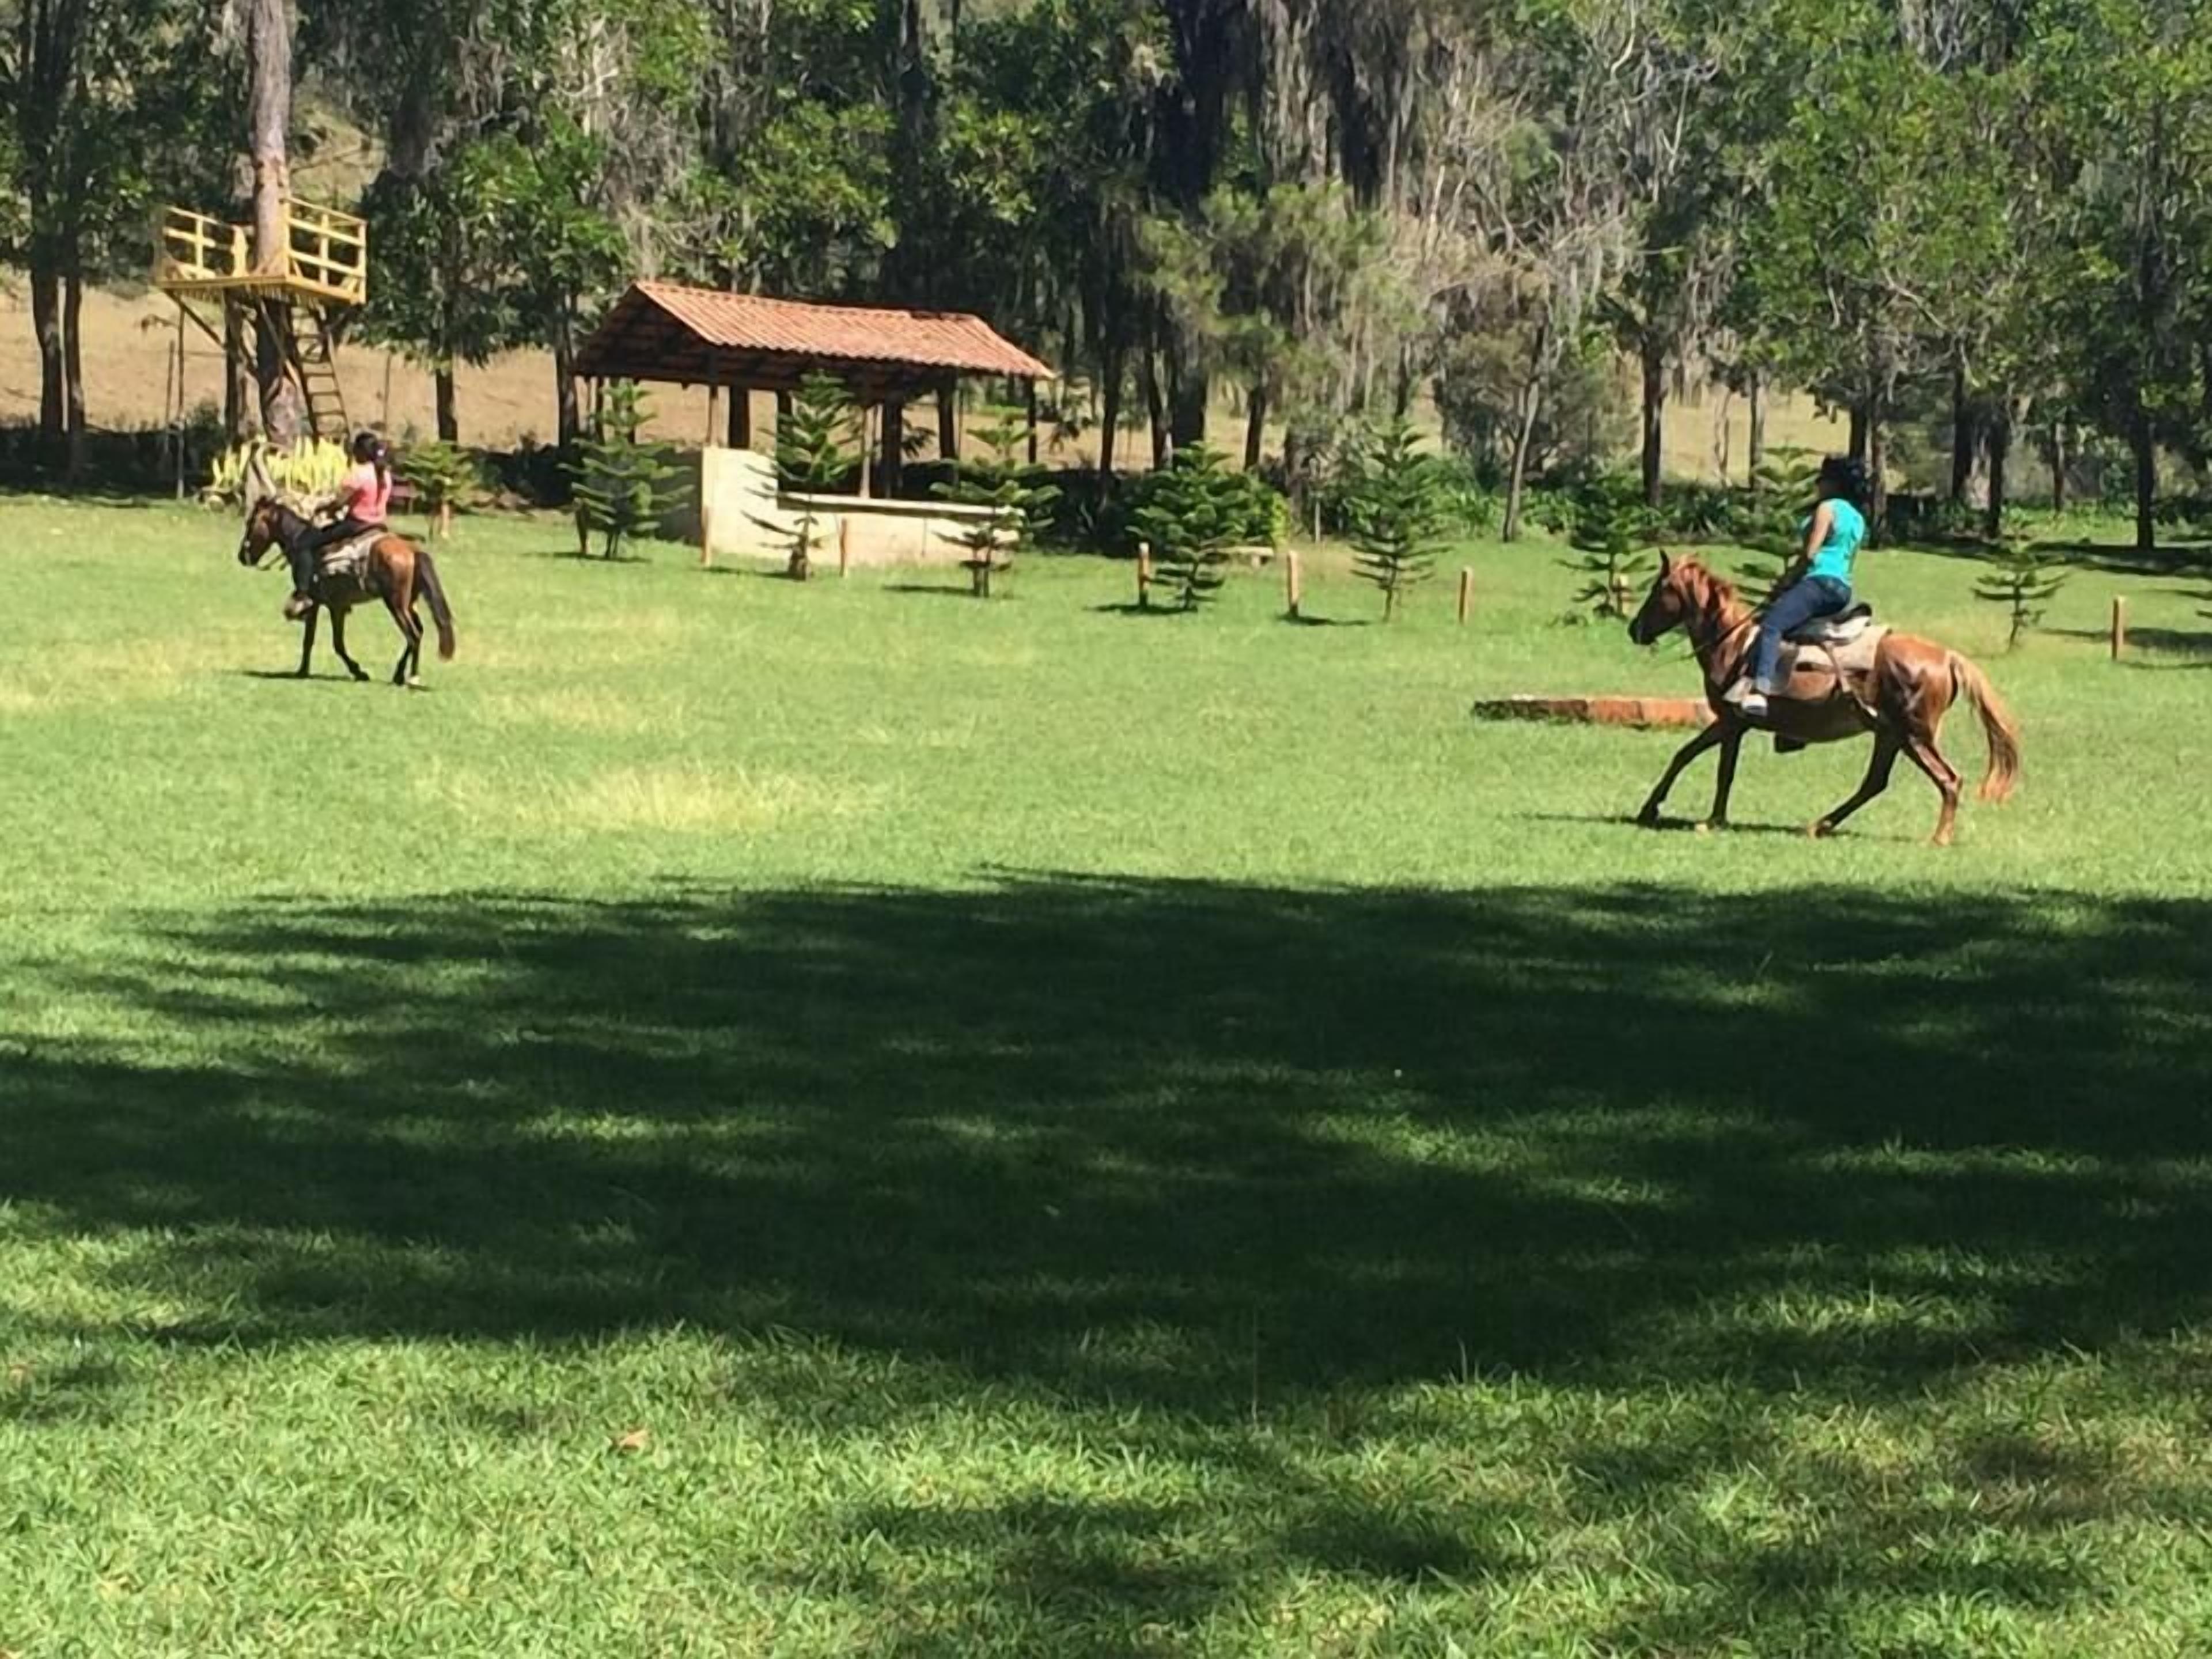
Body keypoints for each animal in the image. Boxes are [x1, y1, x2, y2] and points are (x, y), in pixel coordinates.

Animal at [238, 498, 457, 688]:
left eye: (251, 522)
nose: (242, 556)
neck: (299, 540)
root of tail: (411, 550)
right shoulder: (334, 606)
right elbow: (312, 640)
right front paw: (303, 671)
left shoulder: (325, 605)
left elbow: (335, 643)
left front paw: (358, 672)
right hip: (410, 603)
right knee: (418, 632)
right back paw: (404, 675)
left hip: (396, 604)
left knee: (412, 635)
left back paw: (408, 676)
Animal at [1625, 554, 2021, 846]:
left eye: (1659, 589)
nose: (1634, 630)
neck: (1732, 644)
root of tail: (1947, 656)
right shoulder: (1729, 724)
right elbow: (1686, 756)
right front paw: (1653, 809)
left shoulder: (1732, 721)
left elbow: (1720, 769)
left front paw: (1709, 820)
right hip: (1890, 734)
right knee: (1874, 783)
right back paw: (1819, 826)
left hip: (1914, 735)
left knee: (1949, 779)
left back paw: (1939, 837)